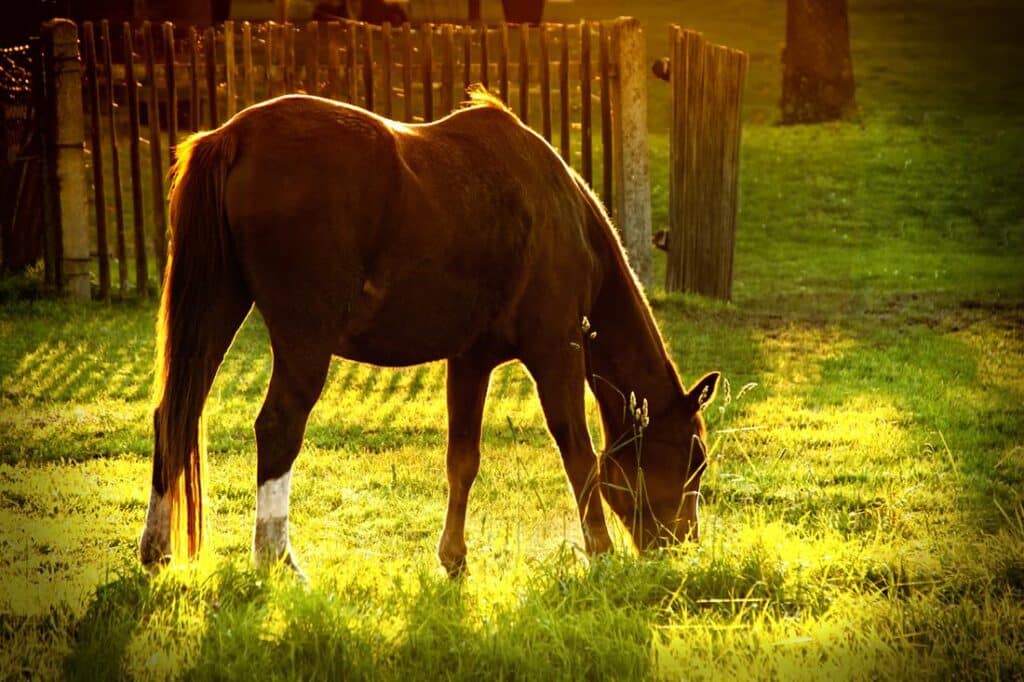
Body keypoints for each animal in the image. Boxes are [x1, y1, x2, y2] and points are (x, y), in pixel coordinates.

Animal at [140, 87, 720, 569]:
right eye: (695, 456)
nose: (682, 546)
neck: (559, 212)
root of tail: (235, 136)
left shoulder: (471, 360)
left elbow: (462, 459)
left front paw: (454, 558)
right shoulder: (557, 349)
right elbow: (579, 453)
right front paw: (600, 554)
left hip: (216, 308)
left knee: (176, 412)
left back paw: (158, 549)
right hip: (305, 339)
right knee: (279, 427)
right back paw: (276, 560)